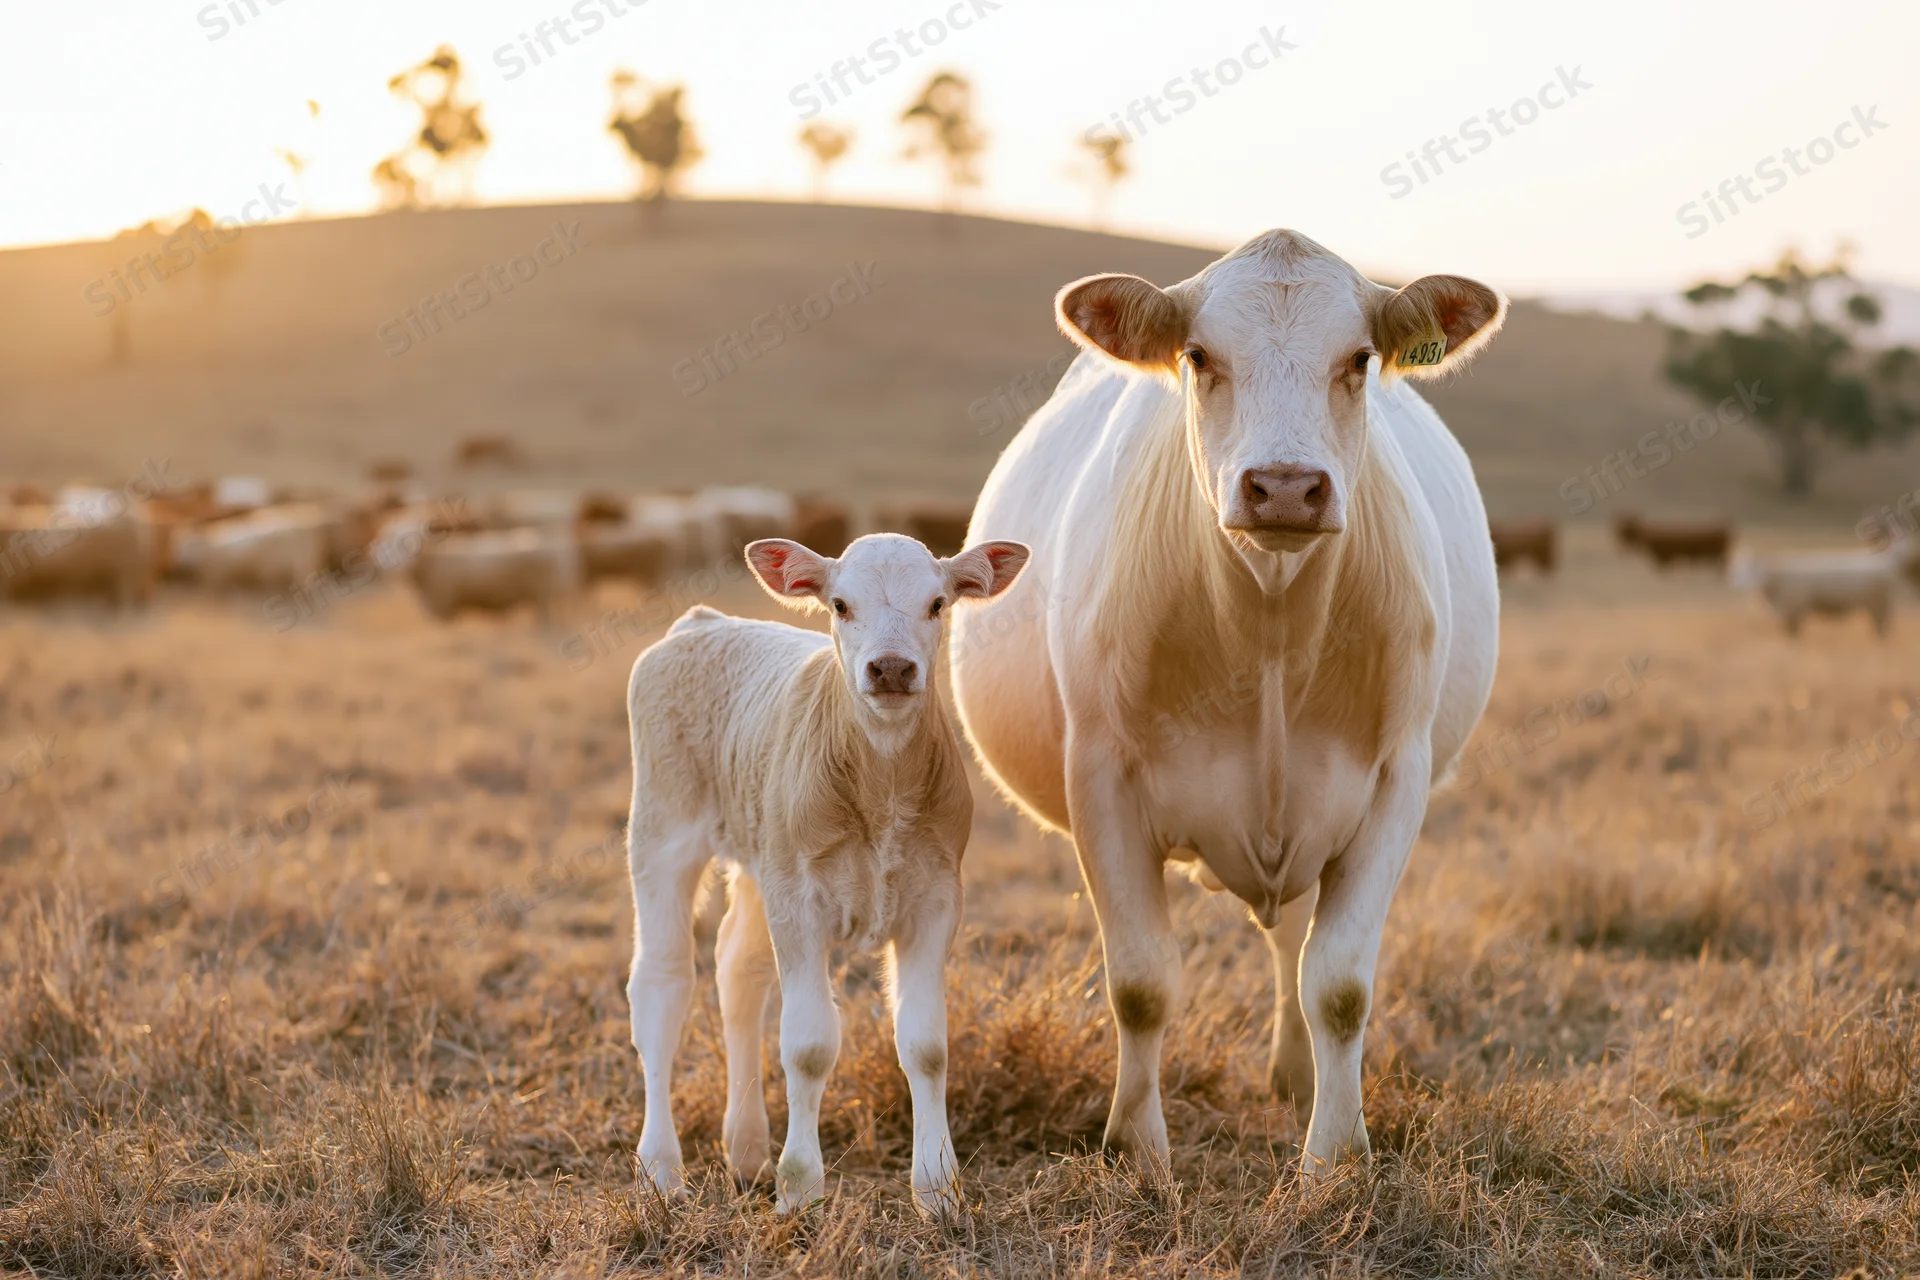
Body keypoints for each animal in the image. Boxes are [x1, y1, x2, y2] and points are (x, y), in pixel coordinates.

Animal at [623, 533, 1028, 1215]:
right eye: (840, 605)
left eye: (938, 603)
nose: (890, 668)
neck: (881, 783)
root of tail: (702, 622)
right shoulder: (800, 903)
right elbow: (809, 1046)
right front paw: (800, 1190)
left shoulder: (936, 898)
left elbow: (926, 1045)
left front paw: (938, 1190)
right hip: (662, 829)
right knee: (663, 983)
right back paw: (661, 1169)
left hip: (761, 855)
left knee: (738, 971)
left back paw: (747, 1150)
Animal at [950, 230, 1505, 1178]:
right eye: (1199, 357)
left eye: (1360, 359)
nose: (1283, 486)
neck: (1270, 629)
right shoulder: (1101, 777)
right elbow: (1141, 983)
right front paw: (1136, 1149)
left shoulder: (1396, 780)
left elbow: (1339, 983)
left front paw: (1335, 1155)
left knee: (1294, 945)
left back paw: (1295, 1074)